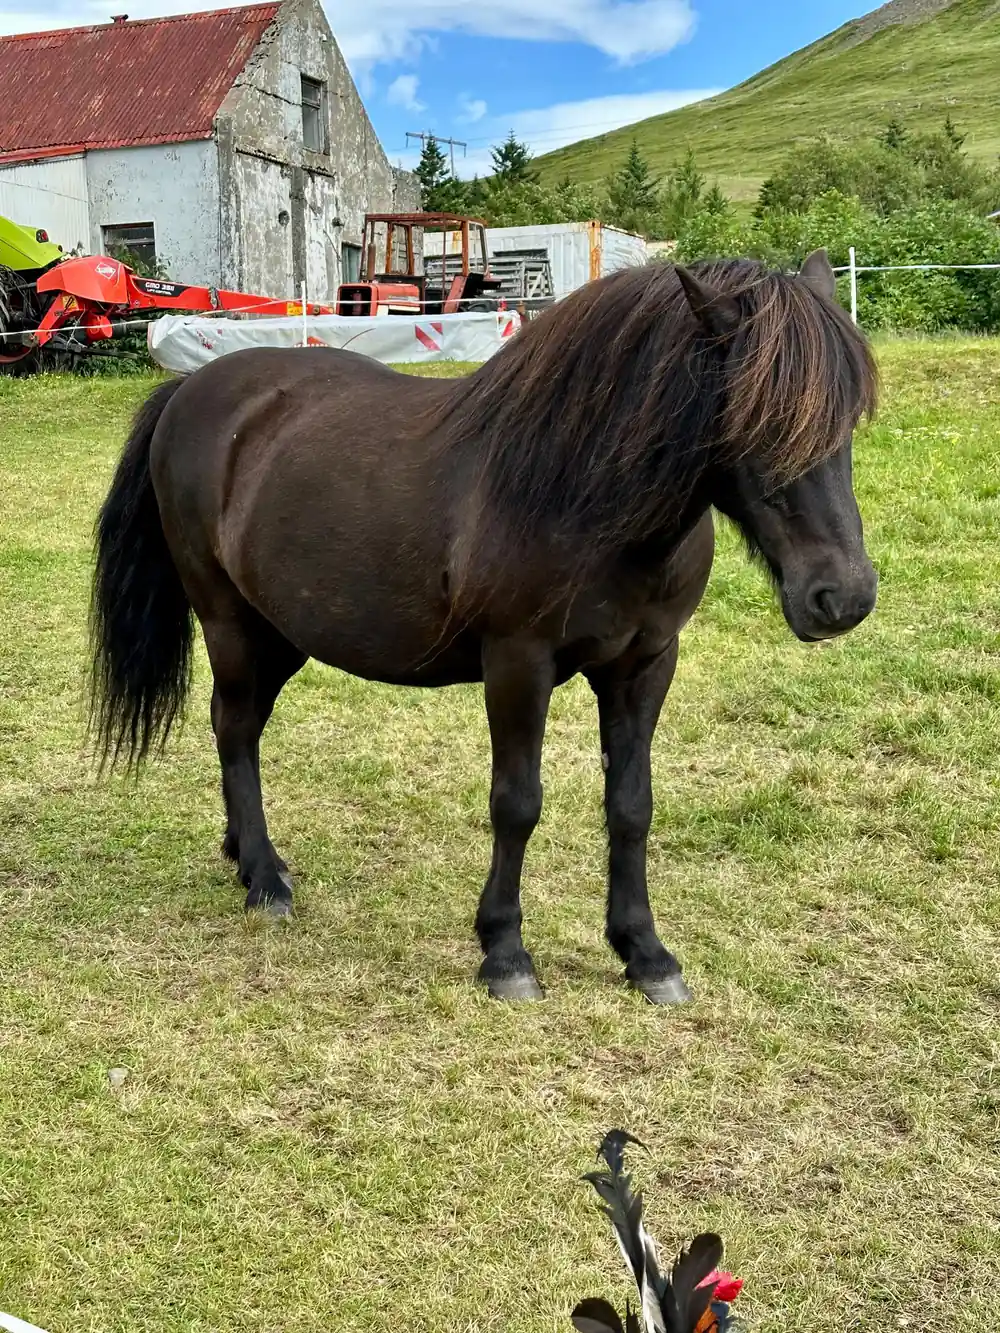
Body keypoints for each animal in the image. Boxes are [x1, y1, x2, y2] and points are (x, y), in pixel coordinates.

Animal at [90, 248, 878, 1004]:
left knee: (240, 728)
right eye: (755, 416)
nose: (843, 596)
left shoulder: (645, 665)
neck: (583, 490)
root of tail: (191, 390)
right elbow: (517, 803)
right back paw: (263, 878)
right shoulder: (518, 665)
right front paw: (505, 953)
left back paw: (244, 856)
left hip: (278, 633)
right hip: (230, 623)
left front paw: (646, 954)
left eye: (849, 420)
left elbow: (631, 805)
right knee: (234, 728)